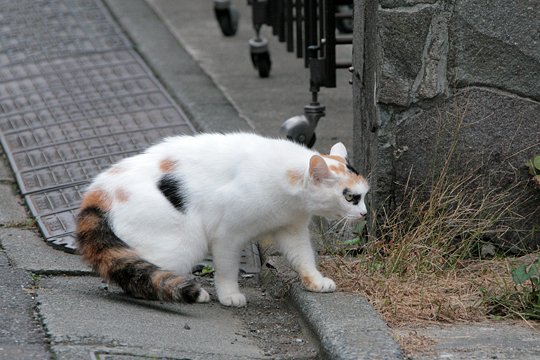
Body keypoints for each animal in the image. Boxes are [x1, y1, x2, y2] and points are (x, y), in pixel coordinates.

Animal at [76, 132, 370, 306]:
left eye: (364, 195)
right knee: (139, 273)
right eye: (350, 198)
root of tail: (97, 194)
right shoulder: (228, 235)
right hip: (184, 243)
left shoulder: (292, 228)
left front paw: (315, 281)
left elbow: (303, 258)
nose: (365, 213)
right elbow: (228, 268)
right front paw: (229, 294)